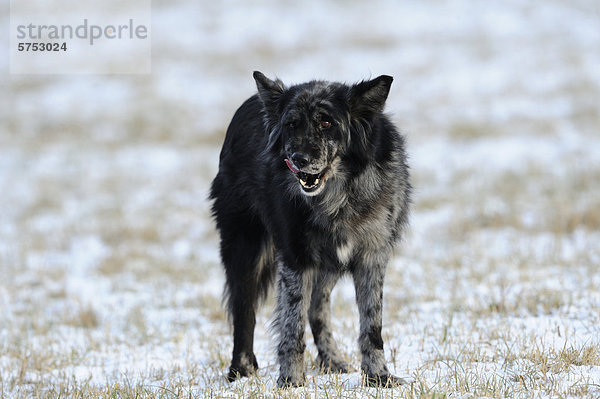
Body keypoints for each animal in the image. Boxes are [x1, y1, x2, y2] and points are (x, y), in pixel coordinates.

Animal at [209, 71, 410, 388]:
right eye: (291, 124)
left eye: (326, 123)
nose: (299, 159)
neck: (338, 199)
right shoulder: (295, 260)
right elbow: (292, 325)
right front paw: (291, 381)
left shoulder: (371, 258)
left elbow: (371, 325)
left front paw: (378, 377)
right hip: (245, 251)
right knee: (244, 312)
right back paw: (240, 371)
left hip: (326, 266)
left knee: (317, 308)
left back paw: (332, 360)